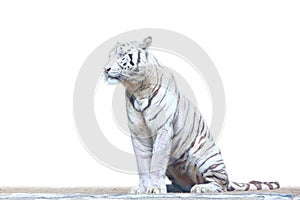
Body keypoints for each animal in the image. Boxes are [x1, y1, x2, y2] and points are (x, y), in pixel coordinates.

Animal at [102, 36, 278, 193]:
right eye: (109, 55)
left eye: (121, 55)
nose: (105, 69)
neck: (137, 88)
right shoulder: (138, 134)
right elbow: (143, 164)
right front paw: (142, 188)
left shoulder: (163, 129)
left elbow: (157, 162)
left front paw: (155, 188)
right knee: (185, 186)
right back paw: (172, 188)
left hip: (207, 155)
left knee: (220, 184)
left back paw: (202, 187)